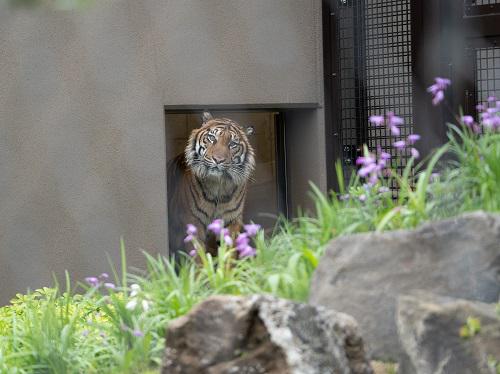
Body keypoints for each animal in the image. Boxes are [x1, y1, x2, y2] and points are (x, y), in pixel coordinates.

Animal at [168, 112, 256, 258]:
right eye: (211, 138)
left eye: (232, 144)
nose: (218, 160)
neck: (218, 185)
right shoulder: (193, 221)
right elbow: (198, 255)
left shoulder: (231, 220)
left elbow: (229, 254)